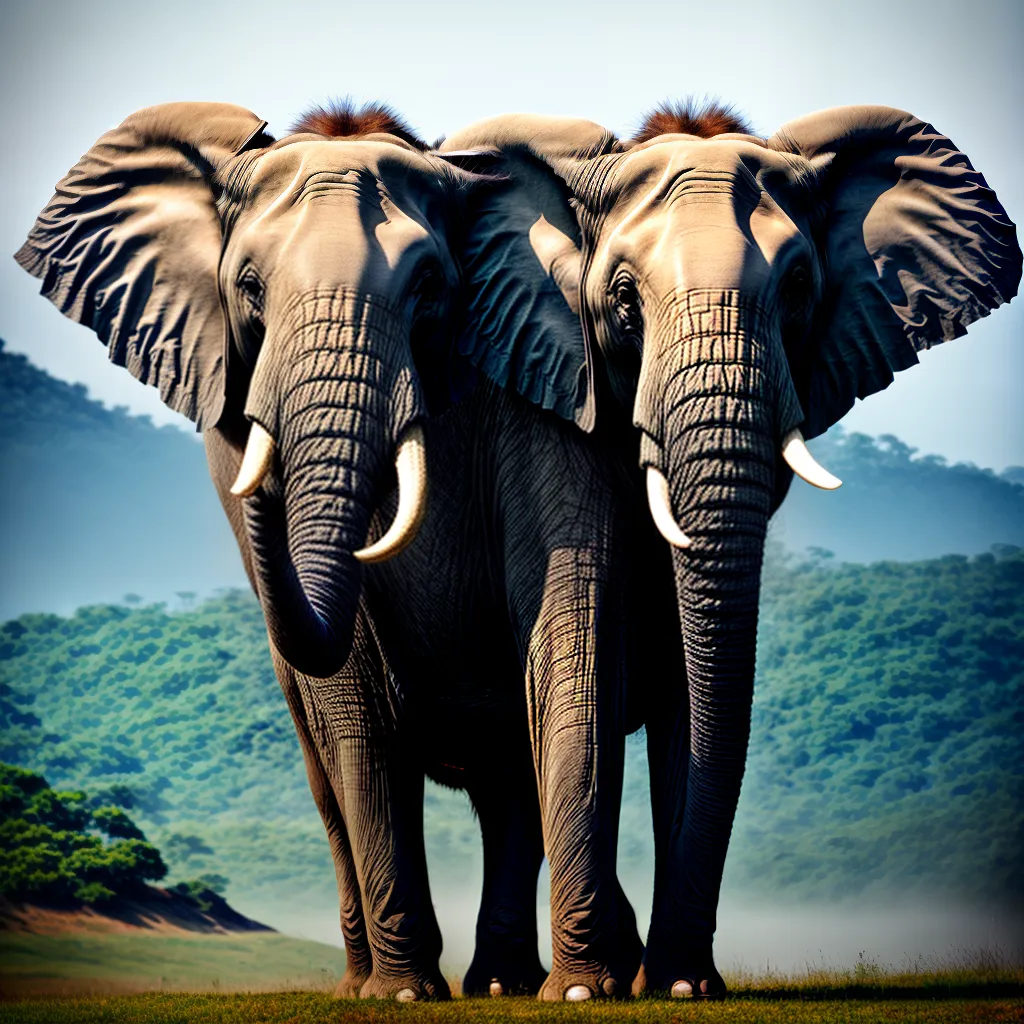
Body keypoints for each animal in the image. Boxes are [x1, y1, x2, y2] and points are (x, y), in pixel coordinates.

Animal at [438, 99, 1021, 998]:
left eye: (799, 290)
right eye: (623, 298)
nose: (673, 974)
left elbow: (694, 680)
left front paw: (680, 985)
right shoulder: (542, 394)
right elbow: (581, 650)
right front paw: (586, 989)